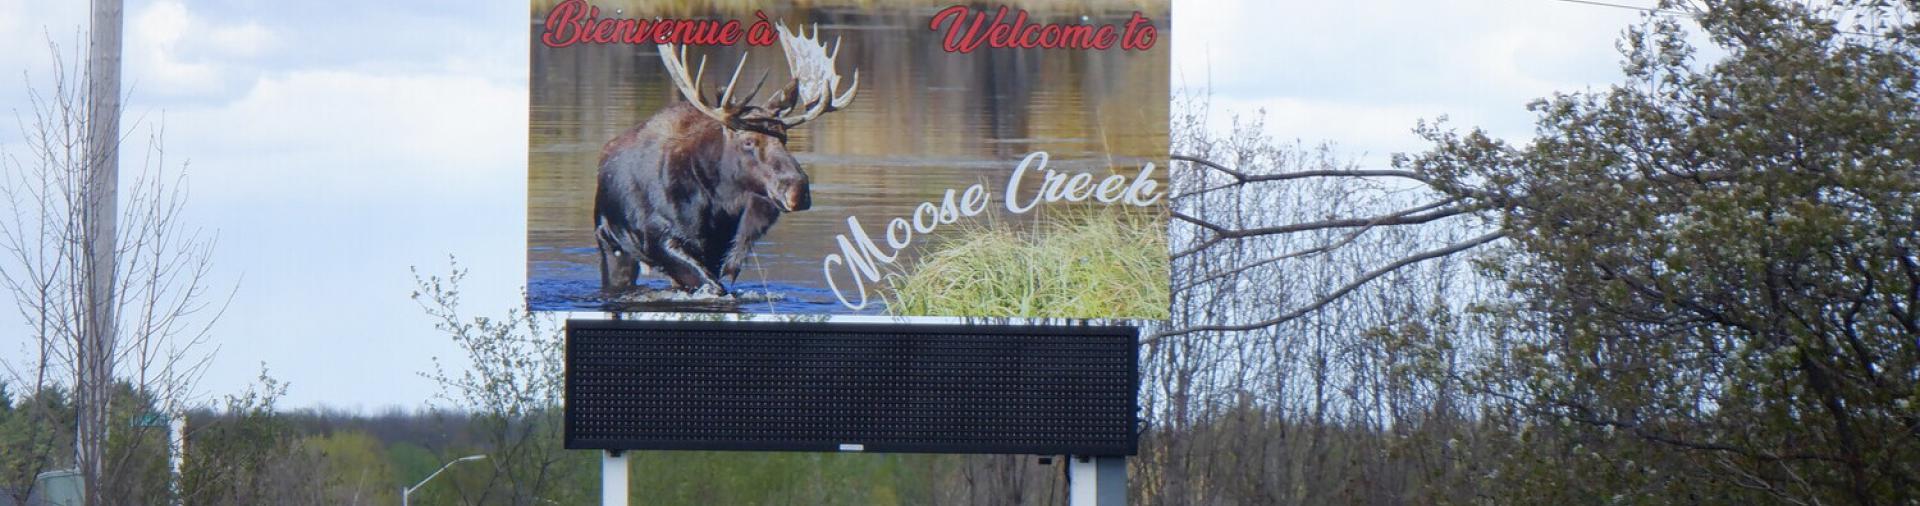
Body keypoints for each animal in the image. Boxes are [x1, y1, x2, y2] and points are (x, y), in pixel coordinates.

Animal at [583, 25, 856, 297]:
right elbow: (717, 288)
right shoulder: (659, 239)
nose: (799, 189)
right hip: (611, 242)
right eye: (748, 141)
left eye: (784, 137)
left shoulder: (717, 248)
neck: (715, 202)